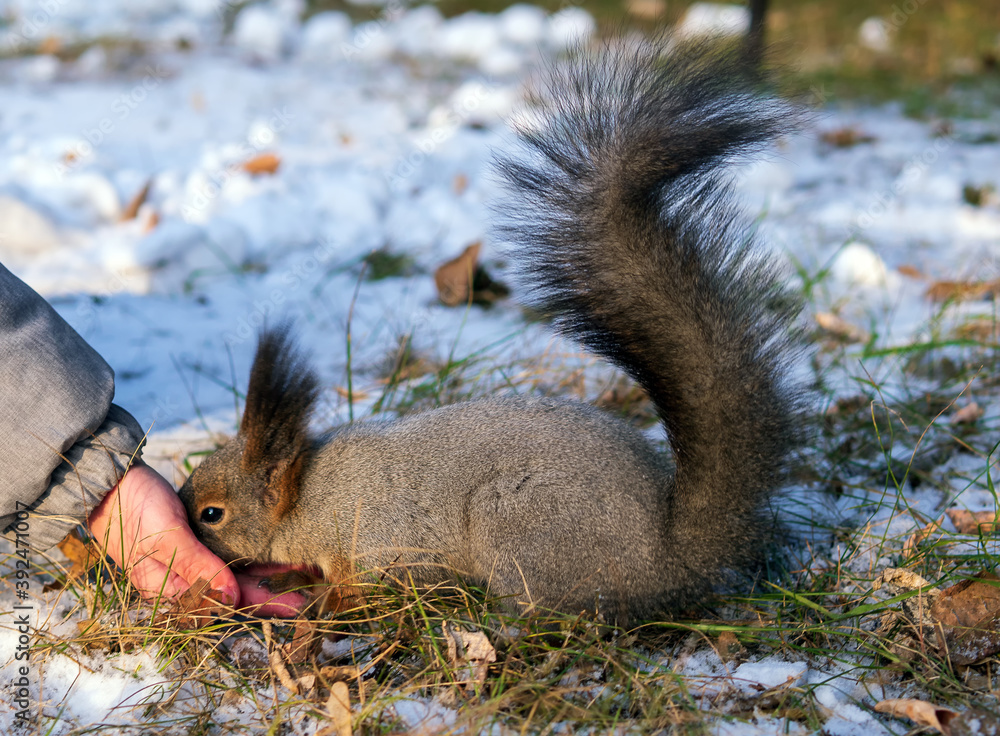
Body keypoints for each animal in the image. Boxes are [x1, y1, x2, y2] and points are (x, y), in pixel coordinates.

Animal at [178, 37, 804, 624]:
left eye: (213, 514)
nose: (185, 523)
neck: (311, 498)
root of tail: (667, 559)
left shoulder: (382, 542)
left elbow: (372, 587)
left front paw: (318, 596)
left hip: (517, 527)